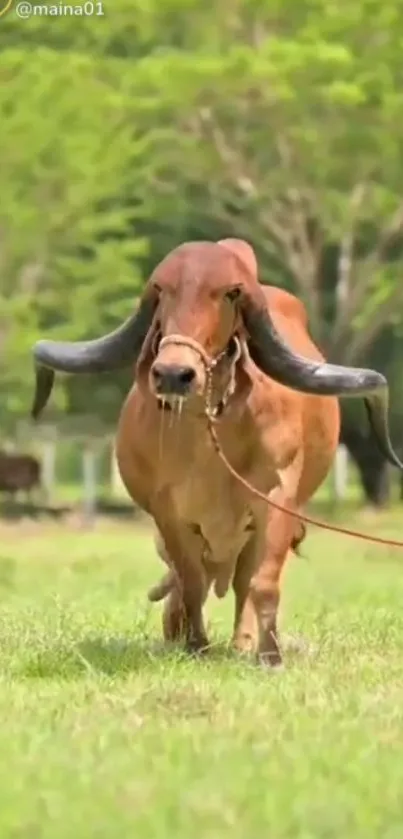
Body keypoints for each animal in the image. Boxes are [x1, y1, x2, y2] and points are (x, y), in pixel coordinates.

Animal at [31, 240, 403, 668]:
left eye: (230, 292)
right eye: (161, 289)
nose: (173, 374)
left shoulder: (276, 499)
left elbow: (262, 582)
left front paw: (270, 656)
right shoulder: (169, 513)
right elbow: (191, 582)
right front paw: (196, 646)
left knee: (242, 582)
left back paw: (244, 643)